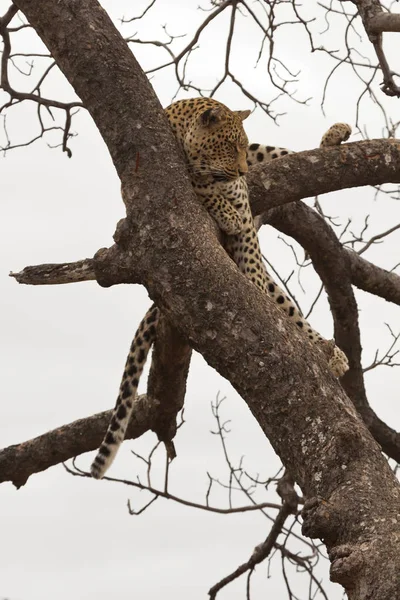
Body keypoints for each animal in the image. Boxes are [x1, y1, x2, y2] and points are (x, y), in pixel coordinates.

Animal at [90, 99, 350, 482]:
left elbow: (279, 155)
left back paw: (329, 351)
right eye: (227, 145)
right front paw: (224, 207)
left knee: (288, 310)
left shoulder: (250, 164)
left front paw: (333, 137)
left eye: (239, 145)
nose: (240, 172)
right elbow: (202, 187)